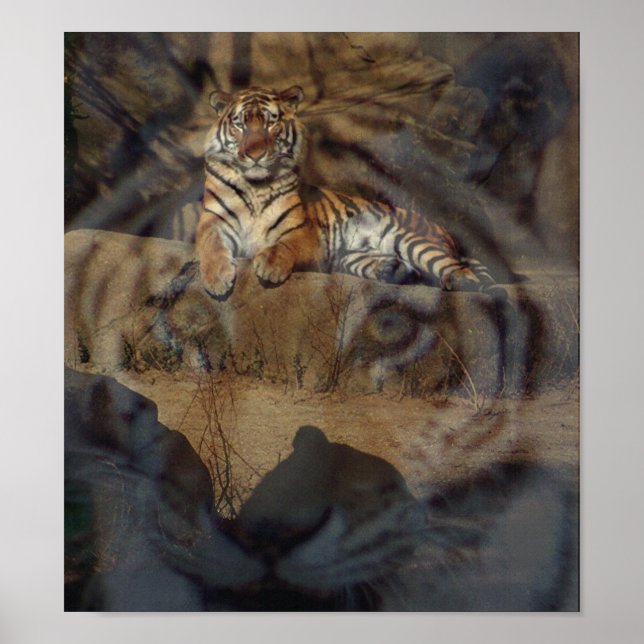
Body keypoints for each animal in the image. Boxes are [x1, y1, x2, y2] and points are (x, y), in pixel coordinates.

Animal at [196, 85, 504, 300]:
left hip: (413, 239)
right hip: (351, 256)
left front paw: (270, 266)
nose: (255, 154)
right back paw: (394, 270)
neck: (256, 185)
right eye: (239, 124)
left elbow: (284, 246)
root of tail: (444, 230)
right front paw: (217, 278)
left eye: (271, 123)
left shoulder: (302, 232)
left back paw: (459, 281)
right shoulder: (213, 222)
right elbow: (211, 246)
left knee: (460, 271)